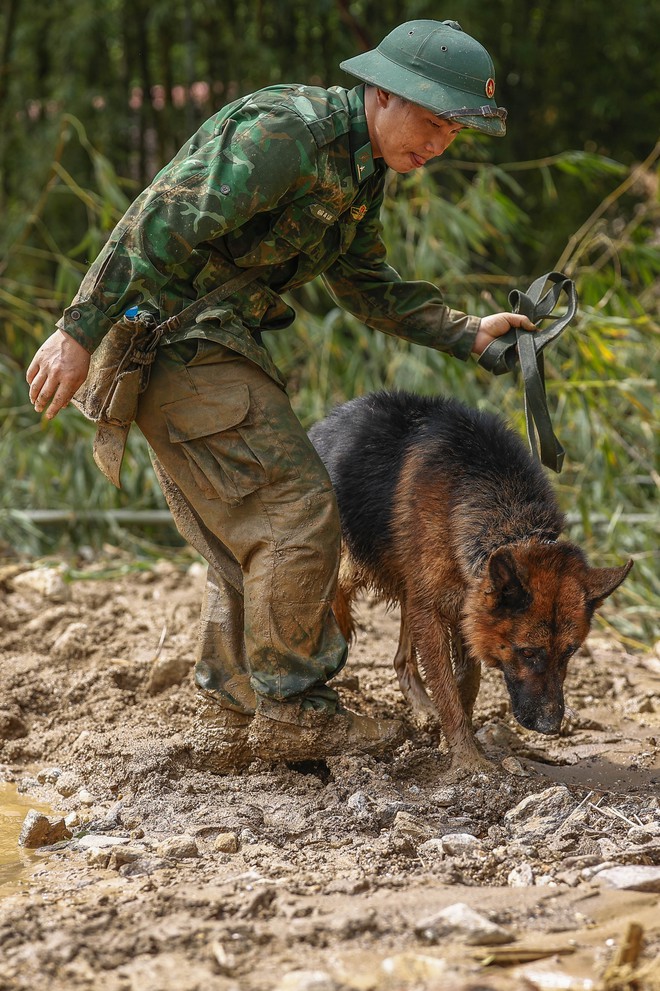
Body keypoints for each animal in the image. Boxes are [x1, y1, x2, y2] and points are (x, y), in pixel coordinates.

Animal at [310, 392, 636, 772]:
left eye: (570, 651)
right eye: (528, 652)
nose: (550, 727)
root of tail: (323, 423)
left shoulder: (465, 607)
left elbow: (466, 684)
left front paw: (451, 742)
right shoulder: (435, 613)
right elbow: (448, 689)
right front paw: (468, 760)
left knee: (402, 658)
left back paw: (422, 709)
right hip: (355, 566)